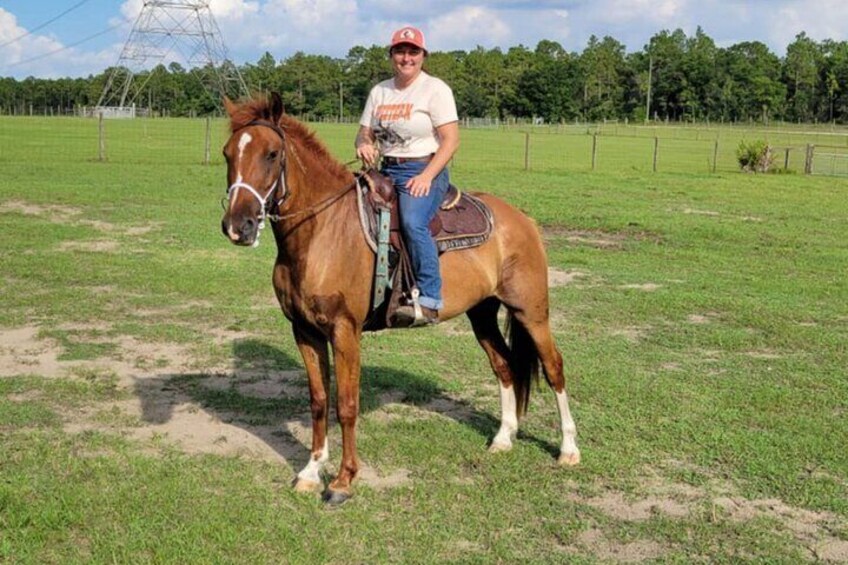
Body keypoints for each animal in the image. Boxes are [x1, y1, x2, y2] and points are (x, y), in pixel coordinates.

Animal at [219, 94, 580, 504]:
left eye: (272, 154)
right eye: (228, 153)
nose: (238, 226)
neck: (323, 232)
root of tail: (522, 219)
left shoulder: (345, 331)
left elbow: (346, 405)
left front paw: (343, 480)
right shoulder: (304, 331)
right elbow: (319, 400)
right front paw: (311, 471)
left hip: (531, 311)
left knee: (554, 367)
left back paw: (569, 449)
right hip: (482, 314)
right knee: (504, 365)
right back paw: (503, 438)